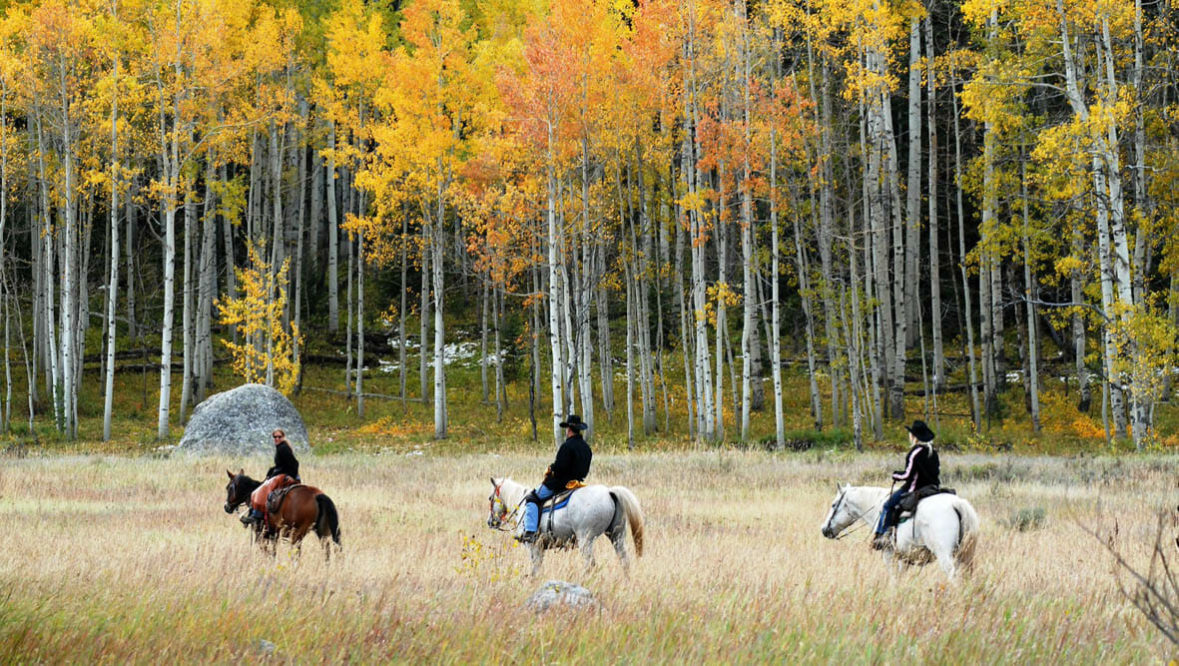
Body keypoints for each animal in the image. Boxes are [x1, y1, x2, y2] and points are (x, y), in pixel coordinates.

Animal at [487, 477, 645, 578]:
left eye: (490, 498)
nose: (490, 522)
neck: (522, 505)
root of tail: (609, 492)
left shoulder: (533, 546)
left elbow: (535, 568)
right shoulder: (540, 547)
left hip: (585, 539)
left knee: (590, 564)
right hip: (617, 536)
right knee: (624, 561)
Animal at [820, 484, 979, 580]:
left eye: (833, 504)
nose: (824, 529)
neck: (878, 507)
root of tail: (956, 504)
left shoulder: (888, 553)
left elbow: (893, 578)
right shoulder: (904, 558)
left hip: (944, 555)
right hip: (964, 556)